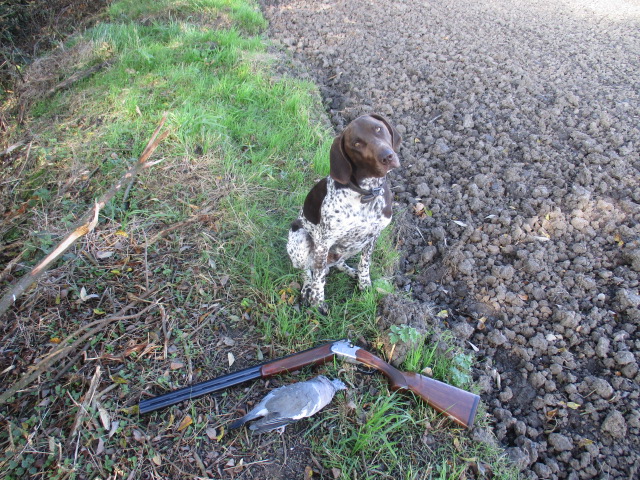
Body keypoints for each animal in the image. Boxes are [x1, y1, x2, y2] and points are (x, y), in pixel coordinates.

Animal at [287, 114, 401, 314]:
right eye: (356, 143)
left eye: (378, 129)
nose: (387, 156)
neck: (367, 194)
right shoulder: (324, 241)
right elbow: (318, 279)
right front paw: (317, 302)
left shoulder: (373, 235)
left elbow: (365, 263)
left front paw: (364, 285)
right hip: (299, 238)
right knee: (307, 270)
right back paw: (308, 288)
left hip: (349, 247)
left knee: (336, 264)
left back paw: (351, 272)